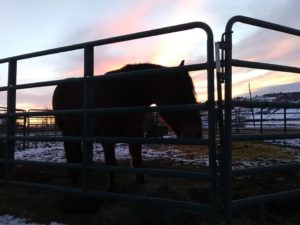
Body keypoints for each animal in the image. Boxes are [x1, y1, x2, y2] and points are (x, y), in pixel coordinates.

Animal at [52, 60, 202, 190]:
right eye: (182, 94)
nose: (197, 134)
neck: (123, 95)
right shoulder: (106, 137)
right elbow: (111, 162)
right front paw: (112, 187)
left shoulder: (136, 133)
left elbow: (137, 158)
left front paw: (141, 183)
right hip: (66, 131)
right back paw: (75, 177)